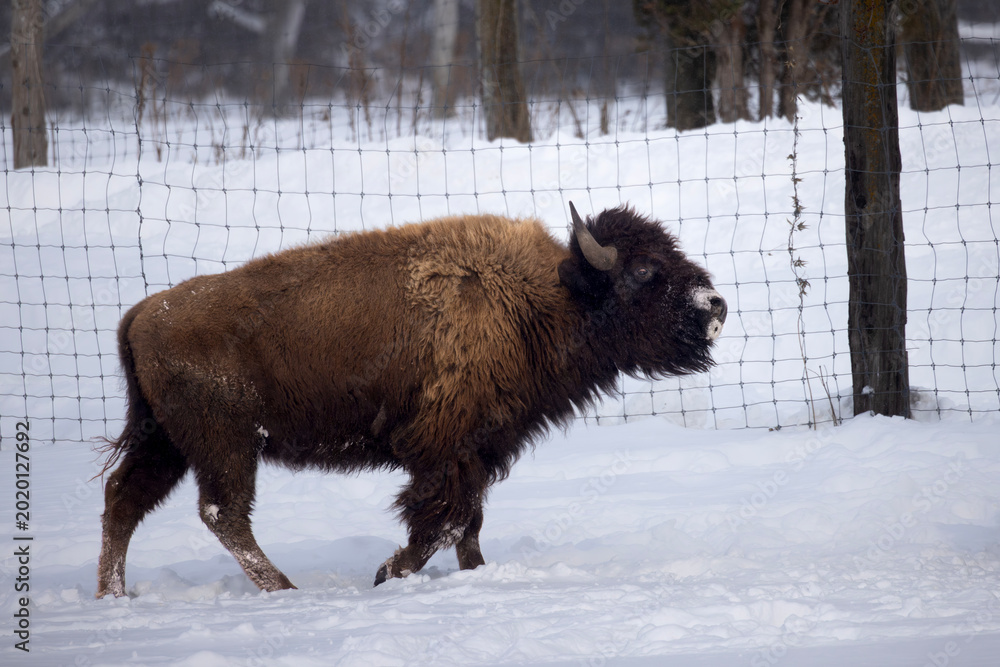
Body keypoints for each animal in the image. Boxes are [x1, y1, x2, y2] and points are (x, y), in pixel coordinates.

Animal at [96, 203, 726, 597]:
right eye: (644, 270)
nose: (715, 304)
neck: (546, 299)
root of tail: (142, 313)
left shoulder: (478, 452)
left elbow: (468, 524)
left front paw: (473, 574)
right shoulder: (445, 452)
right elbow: (443, 521)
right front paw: (386, 574)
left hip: (169, 443)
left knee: (125, 501)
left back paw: (114, 598)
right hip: (225, 444)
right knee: (221, 513)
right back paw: (286, 591)